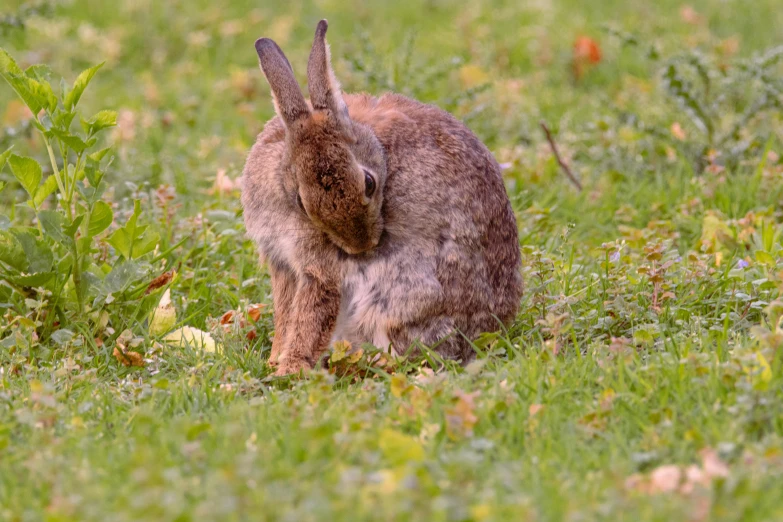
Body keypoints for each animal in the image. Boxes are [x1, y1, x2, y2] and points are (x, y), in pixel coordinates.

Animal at [239, 19, 520, 374]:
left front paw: (290, 369)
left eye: (370, 183)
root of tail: (492, 330)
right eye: (301, 201)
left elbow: (311, 317)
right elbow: (287, 315)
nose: (362, 248)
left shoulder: (320, 269)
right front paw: (276, 361)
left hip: (399, 295)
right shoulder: (283, 264)